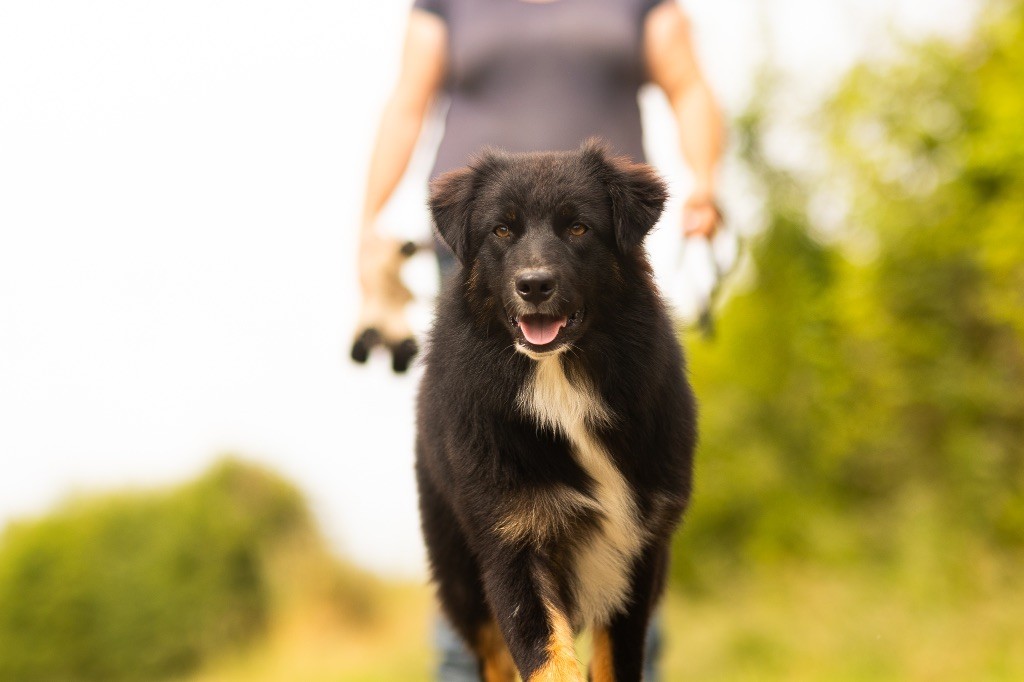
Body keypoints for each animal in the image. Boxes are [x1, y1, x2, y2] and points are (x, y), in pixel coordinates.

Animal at [415, 140, 696, 675]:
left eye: (578, 227)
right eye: (502, 230)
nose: (534, 285)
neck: (560, 383)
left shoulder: (637, 548)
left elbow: (614, 663)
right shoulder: (510, 541)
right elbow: (547, 658)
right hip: (463, 578)